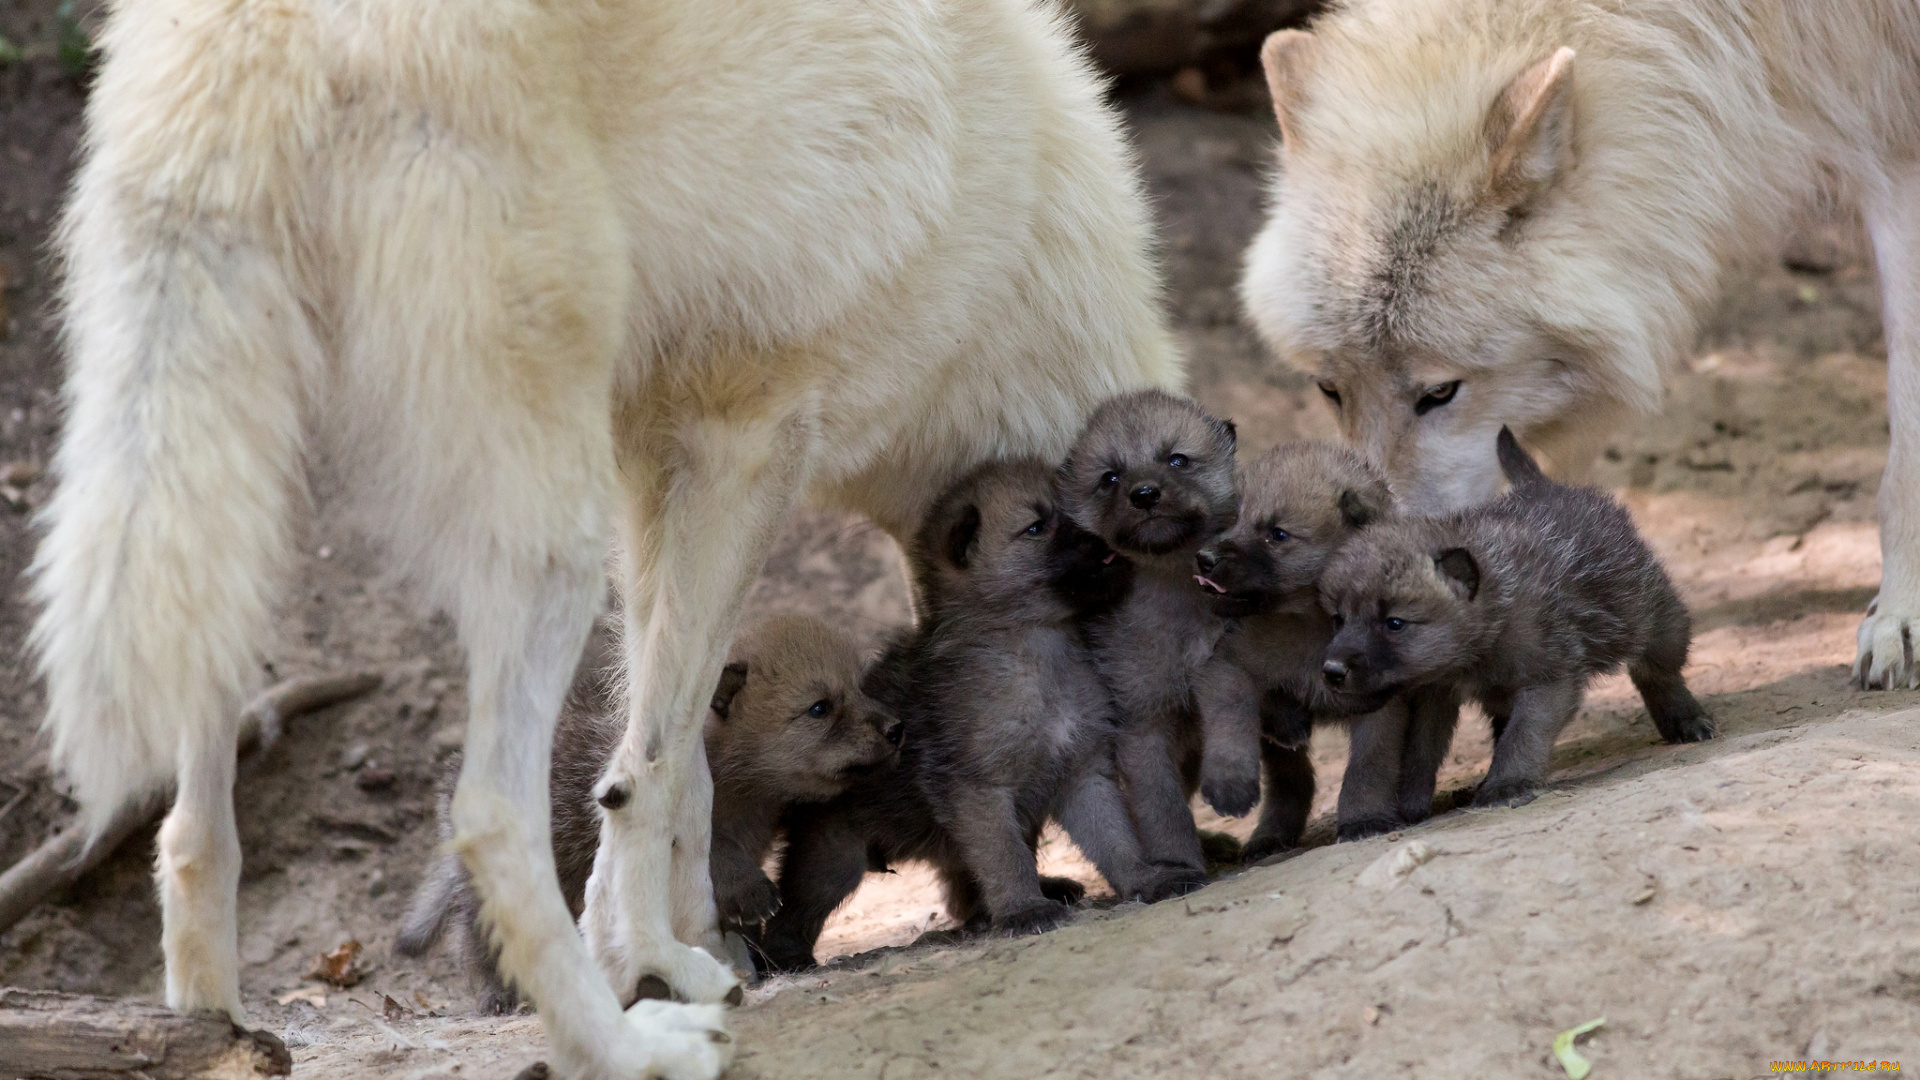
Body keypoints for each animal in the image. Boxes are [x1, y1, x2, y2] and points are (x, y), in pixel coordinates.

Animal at [30, 2, 1175, 1068]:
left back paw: (209, 1033)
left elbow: (677, 757)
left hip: (237, 509)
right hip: (548, 552)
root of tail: (266, 30)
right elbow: (653, 766)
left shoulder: (650, 470)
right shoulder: (745, 449)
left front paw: (698, 943)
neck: (1018, 228)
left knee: (187, 826)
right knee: (486, 814)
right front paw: (657, 962)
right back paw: (620, 1048)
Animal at [1236, 0, 1920, 684]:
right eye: (1330, 390)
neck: (1757, 29)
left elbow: (1904, 454)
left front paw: (1899, 617)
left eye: (1440, 392)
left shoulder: (1894, 135)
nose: (1366, 568)